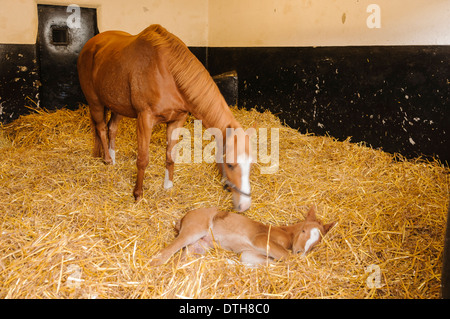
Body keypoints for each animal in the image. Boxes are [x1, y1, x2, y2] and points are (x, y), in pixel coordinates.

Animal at [150, 206, 334, 266]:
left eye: (317, 242)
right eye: (303, 230)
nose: (301, 253)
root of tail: (184, 218)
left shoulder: (249, 253)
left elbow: (253, 259)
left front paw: (231, 263)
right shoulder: (261, 239)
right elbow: (286, 257)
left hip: (199, 245)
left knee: (181, 258)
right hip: (194, 230)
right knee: (167, 251)